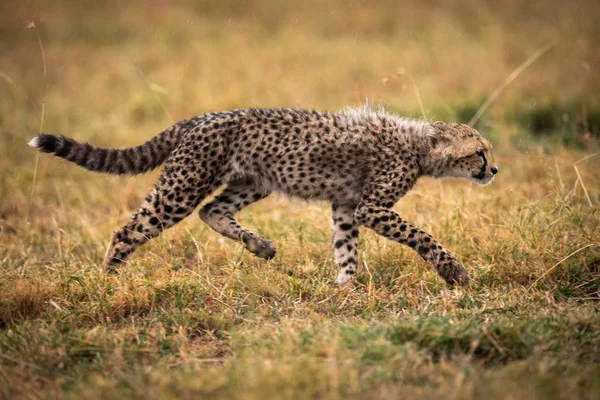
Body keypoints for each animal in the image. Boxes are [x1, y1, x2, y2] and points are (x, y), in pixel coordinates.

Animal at [28, 107, 496, 284]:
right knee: (130, 230)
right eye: (479, 152)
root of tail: (201, 117)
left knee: (213, 211)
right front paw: (453, 270)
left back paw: (260, 245)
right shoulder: (370, 207)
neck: (419, 147)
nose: (494, 170)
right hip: (183, 185)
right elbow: (421, 236)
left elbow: (346, 247)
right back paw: (109, 280)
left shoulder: (347, 206)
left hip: (254, 181)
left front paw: (345, 286)